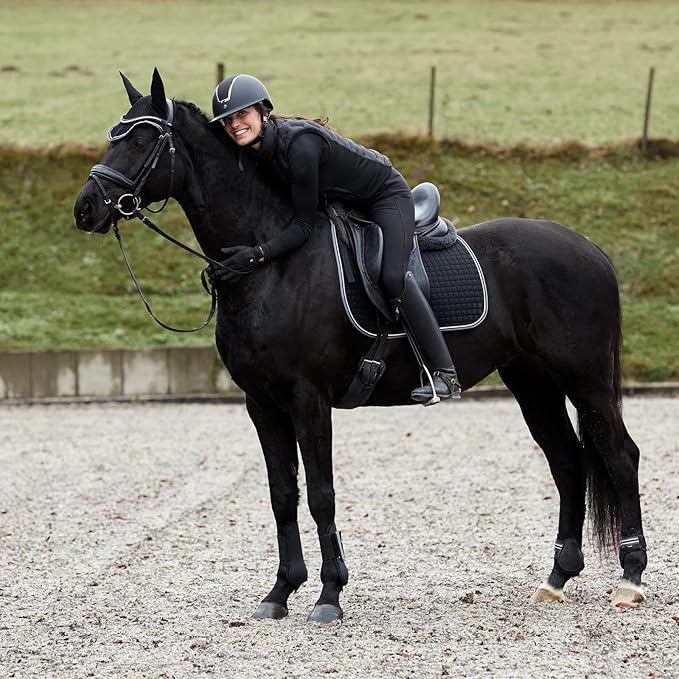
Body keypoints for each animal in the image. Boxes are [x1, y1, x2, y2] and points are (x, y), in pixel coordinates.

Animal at [73, 69, 647, 623]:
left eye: (142, 138)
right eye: (112, 134)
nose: (85, 208)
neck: (271, 264)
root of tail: (589, 248)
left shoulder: (308, 398)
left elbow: (321, 494)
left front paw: (329, 593)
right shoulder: (262, 404)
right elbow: (283, 495)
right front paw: (281, 591)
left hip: (585, 379)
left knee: (620, 456)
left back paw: (631, 578)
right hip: (532, 381)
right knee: (568, 462)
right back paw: (557, 577)